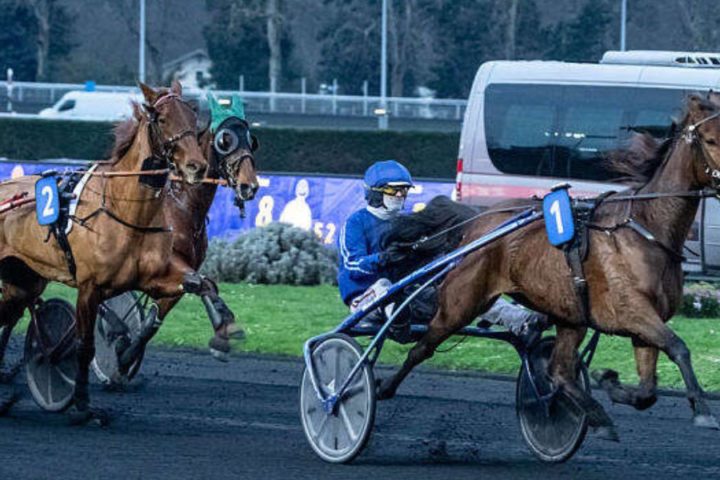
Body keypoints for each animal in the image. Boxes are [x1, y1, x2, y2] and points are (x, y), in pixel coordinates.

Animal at [0, 80, 208, 422]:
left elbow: (192, 287)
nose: (196, 166)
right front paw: (83, 404)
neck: (123, 208)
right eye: (162, 118)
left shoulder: (148, 279)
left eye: (193, 116)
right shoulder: (89, 287)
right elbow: (85, 347)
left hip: (24, 280)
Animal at [374, 91, 720, 438]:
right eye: (710, 138)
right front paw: (703, 410)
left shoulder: (644, 322)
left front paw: (610, 381)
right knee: (423, 347)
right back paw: (380, 387)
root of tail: (477, 222)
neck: (645, 228)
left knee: (559, 371)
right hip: (462, 302)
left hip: (570, 316)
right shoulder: (633, 310)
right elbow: (678, 346)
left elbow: (648, 390)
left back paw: (595, 416)